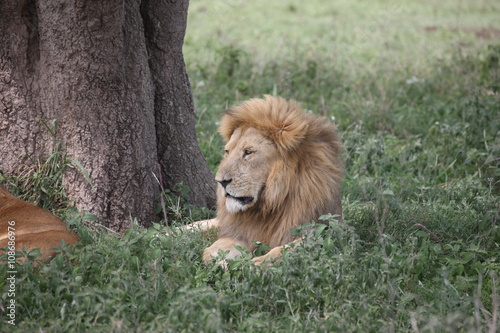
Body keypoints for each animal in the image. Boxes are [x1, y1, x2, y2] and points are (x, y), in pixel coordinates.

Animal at [188, 95, 344, 264]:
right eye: (227, 151)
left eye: (248, 152)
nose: (221, 181)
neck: (269, 204)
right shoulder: (240, 232)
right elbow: (212, 250)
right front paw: (220, 262)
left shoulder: (319, 231)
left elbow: (283, 251)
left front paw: (254, 264)